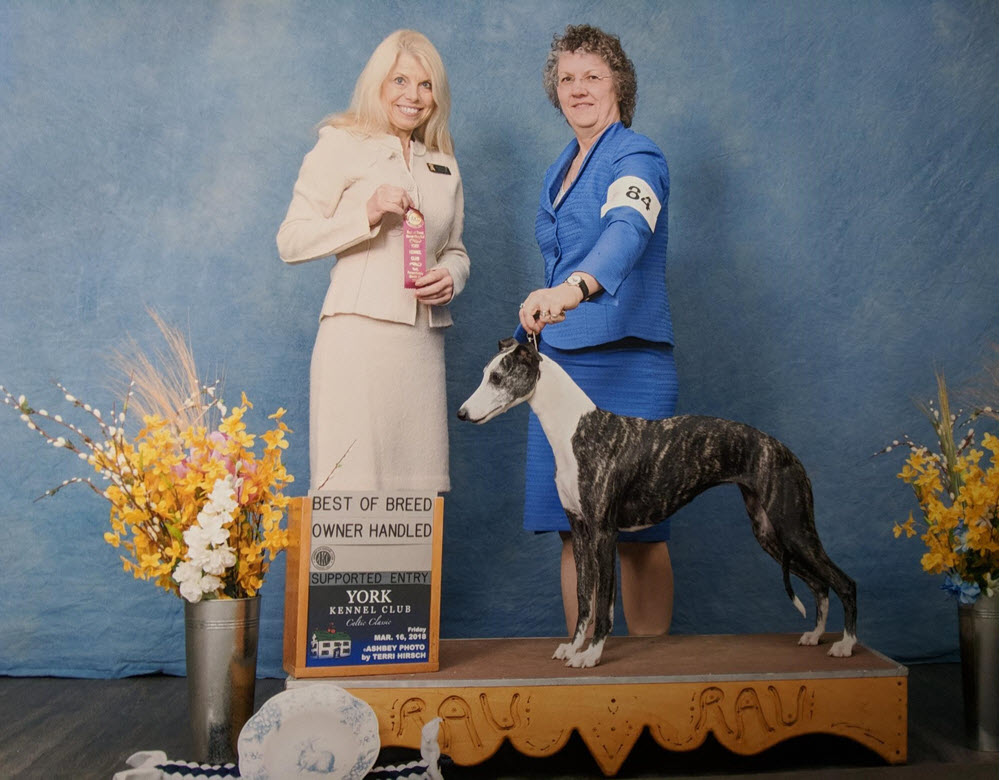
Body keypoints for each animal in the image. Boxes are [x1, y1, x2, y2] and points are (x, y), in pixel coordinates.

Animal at [460, 342, 860, 672]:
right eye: (485, 374)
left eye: (497, 377)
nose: (462, 413)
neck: (576, 430)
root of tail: (786, 451)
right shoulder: (580, 531)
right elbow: (584, 599)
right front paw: (574, 648)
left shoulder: (604, 533)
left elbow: (604, 603)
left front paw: (592, 654)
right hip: (770, 532)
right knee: (818, 584)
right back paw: (815, 635)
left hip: (793, 526)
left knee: (843, 581)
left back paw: (846, 644)